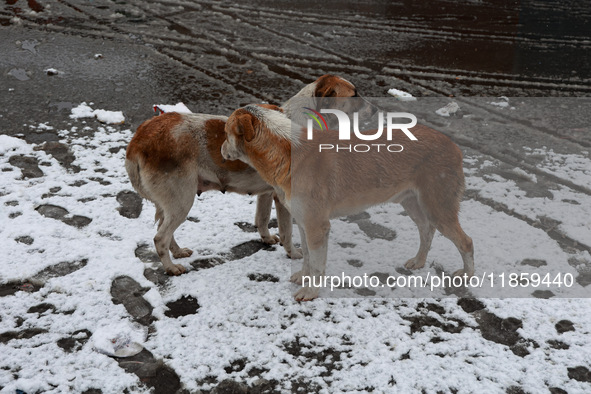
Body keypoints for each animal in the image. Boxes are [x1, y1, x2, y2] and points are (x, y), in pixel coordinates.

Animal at [125, 75, 360, 276]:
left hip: (172, 203)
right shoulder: (284, 199)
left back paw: (178, 252)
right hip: (181, 200)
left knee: (164, 230)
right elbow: (287, 231)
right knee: (160, 238)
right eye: (354, 95)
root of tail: (140, 137)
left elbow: (262, 219)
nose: (370, 105)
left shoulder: (267, 193)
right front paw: (292, 253)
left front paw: (267, 239)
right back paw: (171, 267)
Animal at [222, 104, 476, 302]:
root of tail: (453, 145)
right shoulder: (303, 223)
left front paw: (310, 292)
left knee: (466, 242)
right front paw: (303, 277)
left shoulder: (317, 226)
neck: (286, 150)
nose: (222, 149)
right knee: (426, 230)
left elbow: (316, 264)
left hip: (439, 208)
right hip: (412, 203)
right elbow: (307, 257)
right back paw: (419, 261)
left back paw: (468, 276)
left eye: (225, 133)